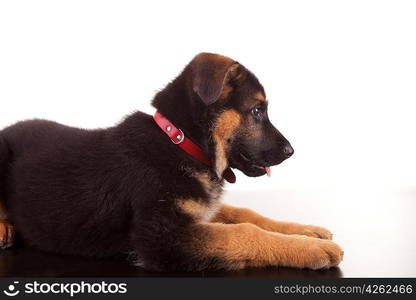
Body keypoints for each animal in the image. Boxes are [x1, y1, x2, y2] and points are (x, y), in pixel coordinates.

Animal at [0, 52, 342, 270]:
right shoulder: (161, 236)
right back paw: (5, 228)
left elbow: (245, 214)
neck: (181, 143)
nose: (290, 151)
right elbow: (244, 231)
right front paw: (312, 249)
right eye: (257, 111)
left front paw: (306, 231)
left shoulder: (199, 209)